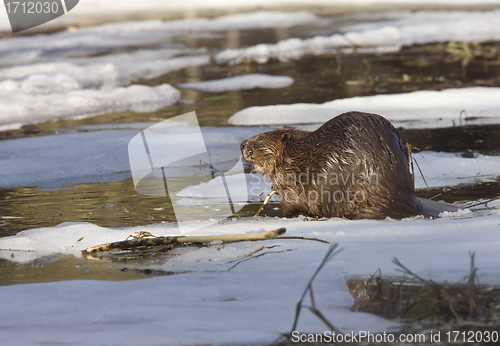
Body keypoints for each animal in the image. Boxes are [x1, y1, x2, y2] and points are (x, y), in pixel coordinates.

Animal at [241, 111, 442, 219]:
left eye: (260, 138)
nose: (242, 144)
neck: (296, 154)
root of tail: (407, 200)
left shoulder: (290, 180)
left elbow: (291, 203)